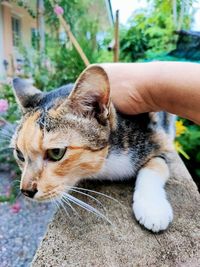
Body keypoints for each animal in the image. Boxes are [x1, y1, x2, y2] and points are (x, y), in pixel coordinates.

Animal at [12, 65, 175, 232]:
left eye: (56, 152)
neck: (106, 165)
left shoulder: (160, 140)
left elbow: (156, 165)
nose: (26, 191)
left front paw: (152, 208)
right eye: (19, 154)